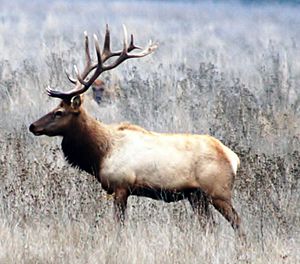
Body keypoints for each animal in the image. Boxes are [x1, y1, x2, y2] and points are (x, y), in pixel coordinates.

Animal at [28, 24, 244, 238]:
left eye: (59, 112)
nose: (33, 126)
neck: (100, 154)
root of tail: (233, 158)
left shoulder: (121, 186)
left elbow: (119, 224)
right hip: (196, 195)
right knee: (210, 226)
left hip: (218, 192)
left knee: (238, 223)